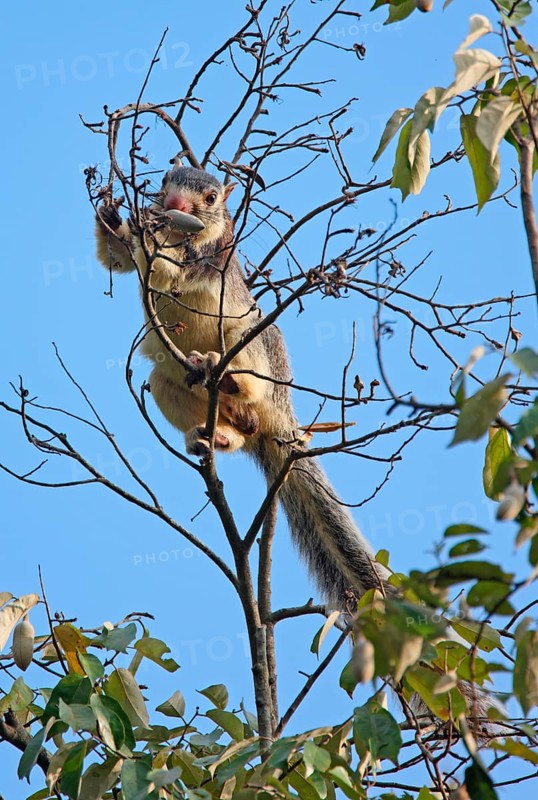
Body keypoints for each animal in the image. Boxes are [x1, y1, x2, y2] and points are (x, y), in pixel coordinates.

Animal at [94, 164, 387, 611]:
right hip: (167, 384)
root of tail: (280, 421)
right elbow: (120, 259)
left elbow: (171, 272)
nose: (174, 205)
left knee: (247, 373)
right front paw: (112, 217)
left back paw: (223, 371)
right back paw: (211, 435)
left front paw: (150, 235)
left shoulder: (211, 259)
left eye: (212, 198)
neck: (183, 235)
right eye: (164, 183)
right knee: (231, 428)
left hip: (250, 339)